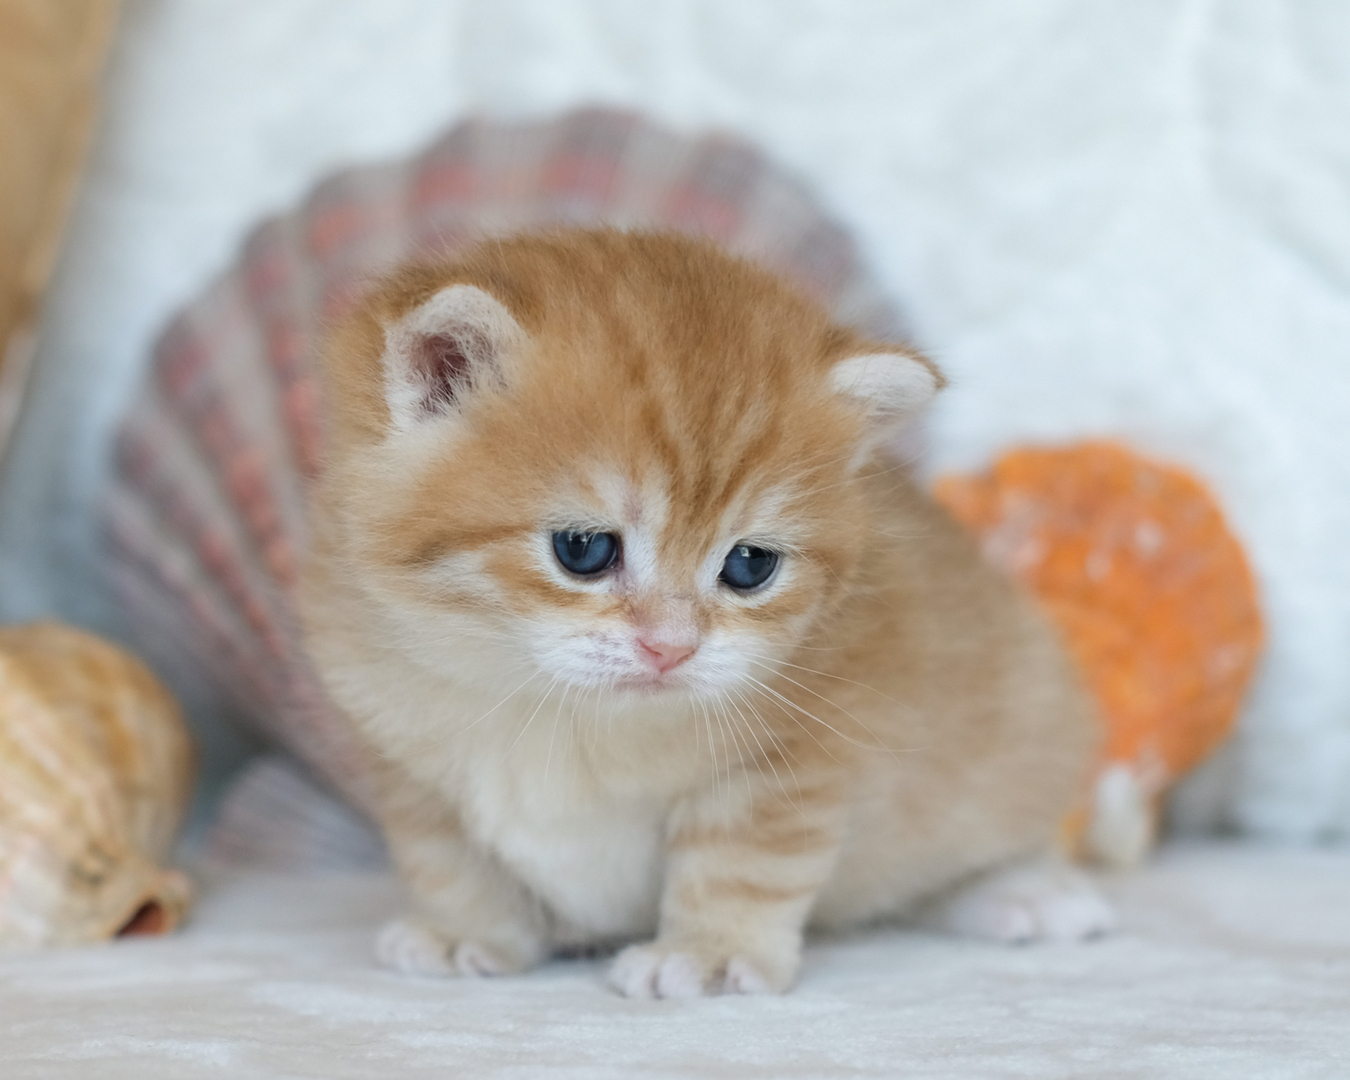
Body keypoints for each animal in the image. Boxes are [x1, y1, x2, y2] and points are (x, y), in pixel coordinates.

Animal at [301, 228, 1112, 993]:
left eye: (750, 566)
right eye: (583, 550)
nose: (671, 648)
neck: (559, 712)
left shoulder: (798, 759)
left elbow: (742, 864)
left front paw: (708, 953)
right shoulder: (406, 760)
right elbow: (447, 859)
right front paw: (466, 931)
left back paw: (1027, 893)